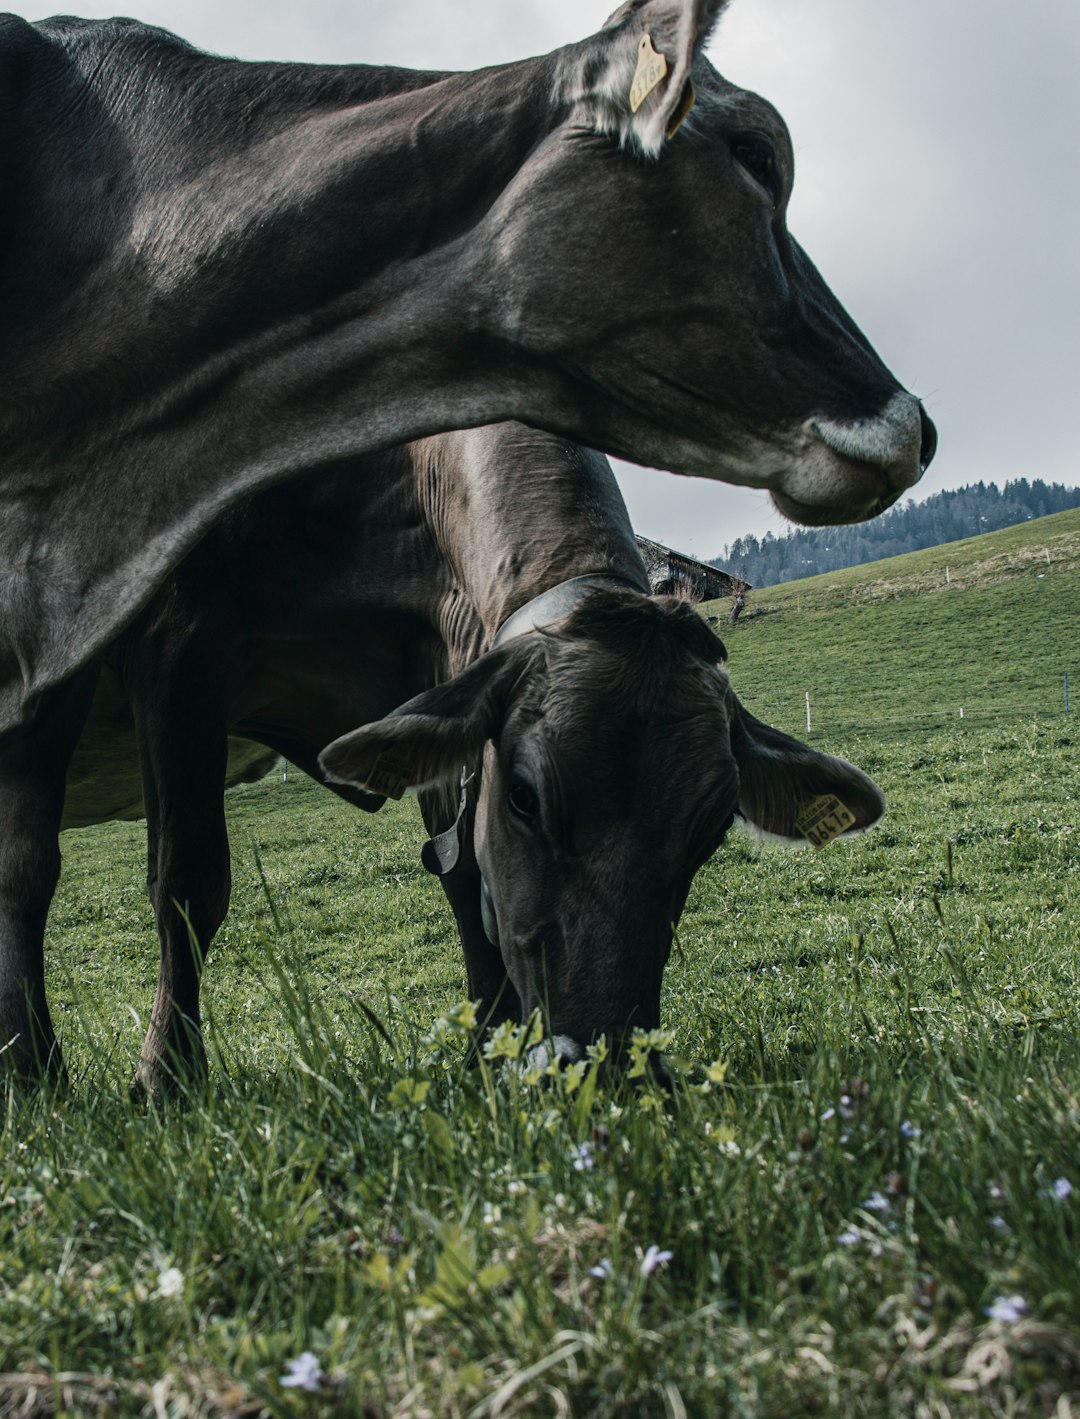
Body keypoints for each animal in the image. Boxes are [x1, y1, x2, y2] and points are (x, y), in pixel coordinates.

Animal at [18, 422, 885, 1084]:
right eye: (527, 795)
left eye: (710, 828)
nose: (605, 1063)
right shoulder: (181, 641)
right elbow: (189, 883)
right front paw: (166, 1078)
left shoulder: (442, 673)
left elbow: (466, 878)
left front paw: (488, 1058)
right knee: (25, 871)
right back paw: (35, 1076)